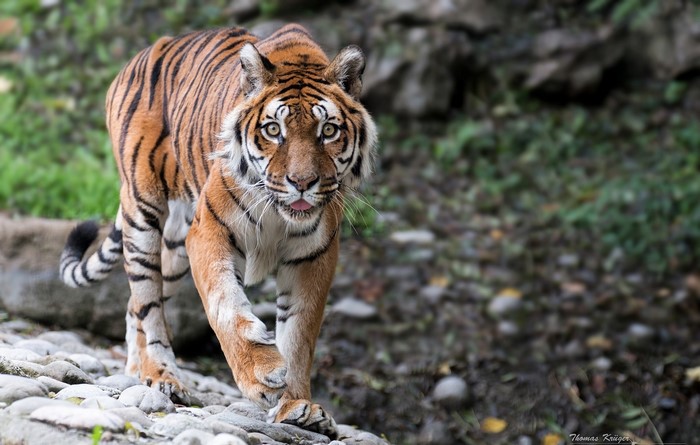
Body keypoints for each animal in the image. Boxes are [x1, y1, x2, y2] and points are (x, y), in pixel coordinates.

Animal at [58, 23, 377, 437]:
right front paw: (260, 376)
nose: (302, 183)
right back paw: (162, 377)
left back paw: (136, 371)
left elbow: (299, 335)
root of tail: (147, 51)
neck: (279, 214)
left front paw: (297, 405)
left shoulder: (314, 257)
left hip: (175, 249)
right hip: (142, 210)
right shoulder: (209, 233)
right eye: (273, 130)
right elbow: (225, 305)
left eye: (328, 130)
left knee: (135, 307)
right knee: (147, 302)